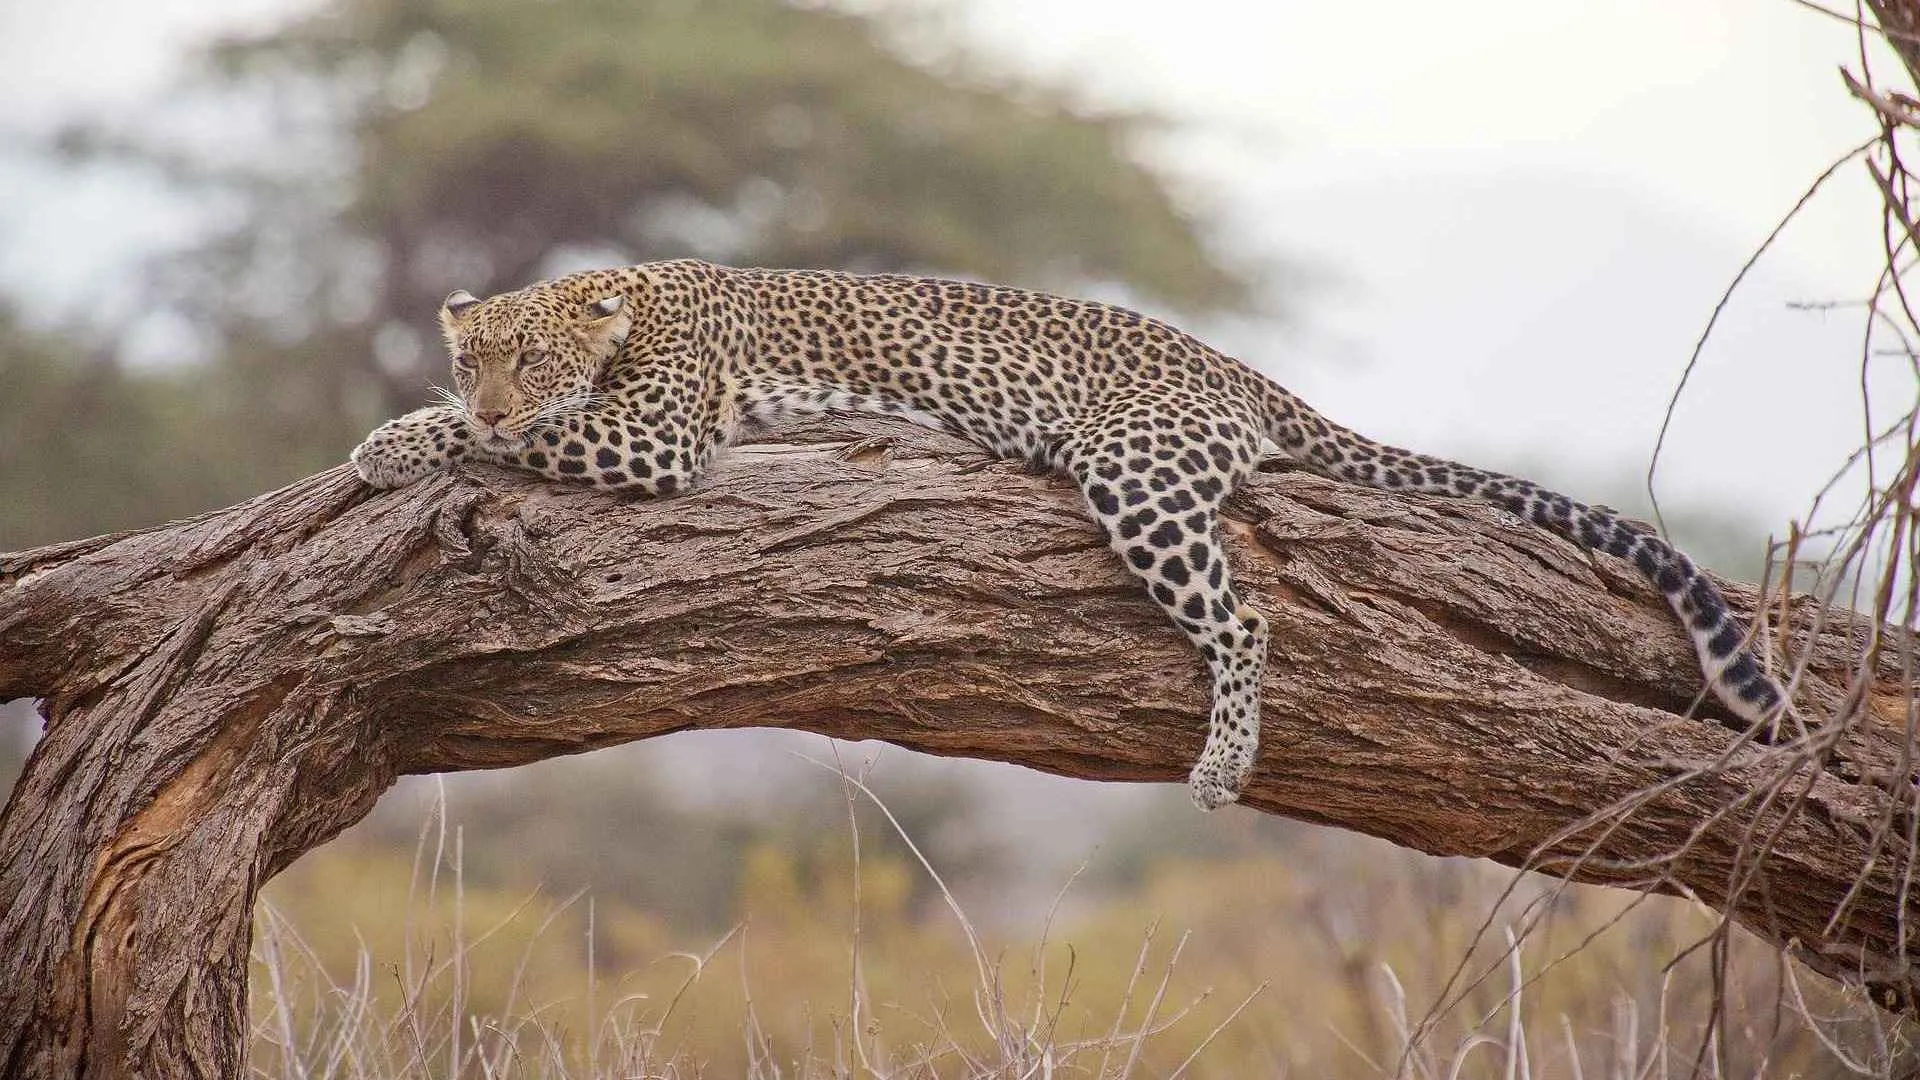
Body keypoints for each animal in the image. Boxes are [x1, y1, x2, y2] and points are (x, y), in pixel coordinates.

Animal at [351, 259, 1787, 810]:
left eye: (531, 362)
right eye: (479, 354)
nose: (489, 390)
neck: (630, 303)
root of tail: (1240, 372)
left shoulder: (656, 434)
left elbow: (510, 444)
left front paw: (405, 442)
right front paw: (398, 431)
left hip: (1134, 472)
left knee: (1246, 613)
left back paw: (1221, 765)